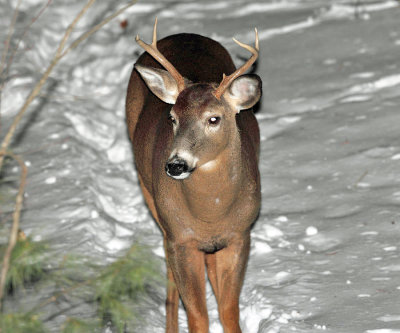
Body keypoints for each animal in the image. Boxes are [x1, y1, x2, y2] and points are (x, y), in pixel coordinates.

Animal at [126, 19, 262, 330]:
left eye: (214, 118)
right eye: (172, 118)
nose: (175, 165)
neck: (211, 213)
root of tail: (184, 34)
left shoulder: (240, 234)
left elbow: (228, 309)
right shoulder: (180, 239)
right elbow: (197, 315)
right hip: (152, 200)